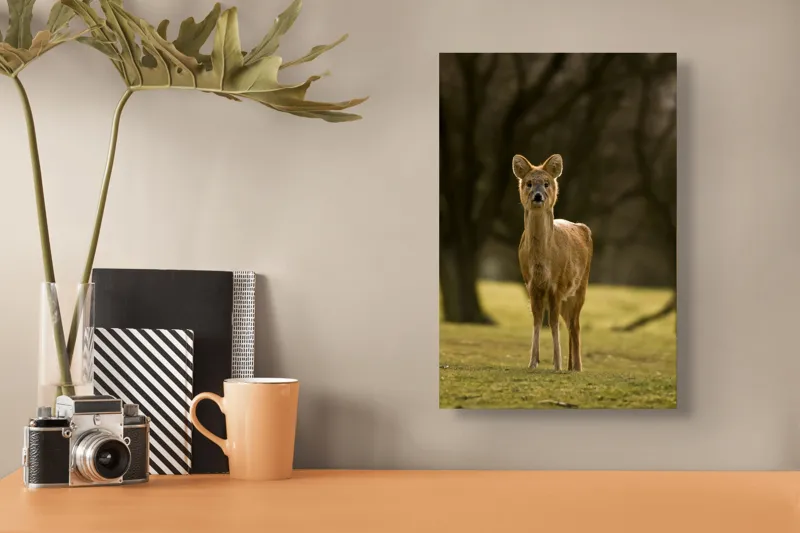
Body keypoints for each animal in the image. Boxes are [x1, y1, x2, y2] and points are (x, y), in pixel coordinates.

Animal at [513, 154, 593, 372]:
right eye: (529, 183)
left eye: (547, 183)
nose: (538, 196)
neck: (542, 262)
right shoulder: (530, 283)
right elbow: (537, 320)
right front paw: (533, 362)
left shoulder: (556, 283)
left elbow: (553, 322)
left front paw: (557, 364)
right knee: (570, 323)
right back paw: (571, 366)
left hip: (581, 286)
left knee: (575, 324)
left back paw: (577, 367)